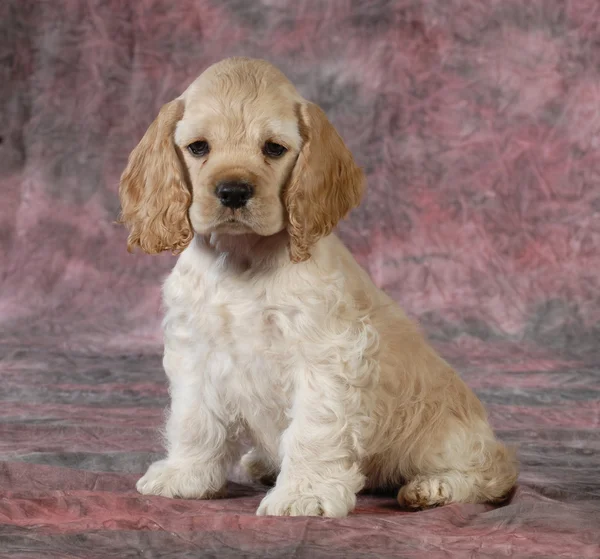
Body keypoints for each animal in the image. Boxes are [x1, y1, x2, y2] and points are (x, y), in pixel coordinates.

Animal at [119, 58, 516, 520]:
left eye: (274, 148)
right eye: (198, 147)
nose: (233, 191)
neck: (242, 259)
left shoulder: (327, 356)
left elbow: (313, 429)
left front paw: (304, 494)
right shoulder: (197, 349)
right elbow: (194, 420)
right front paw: (186, 476)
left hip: (450, 440)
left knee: (490, 473)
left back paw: (432, 487)